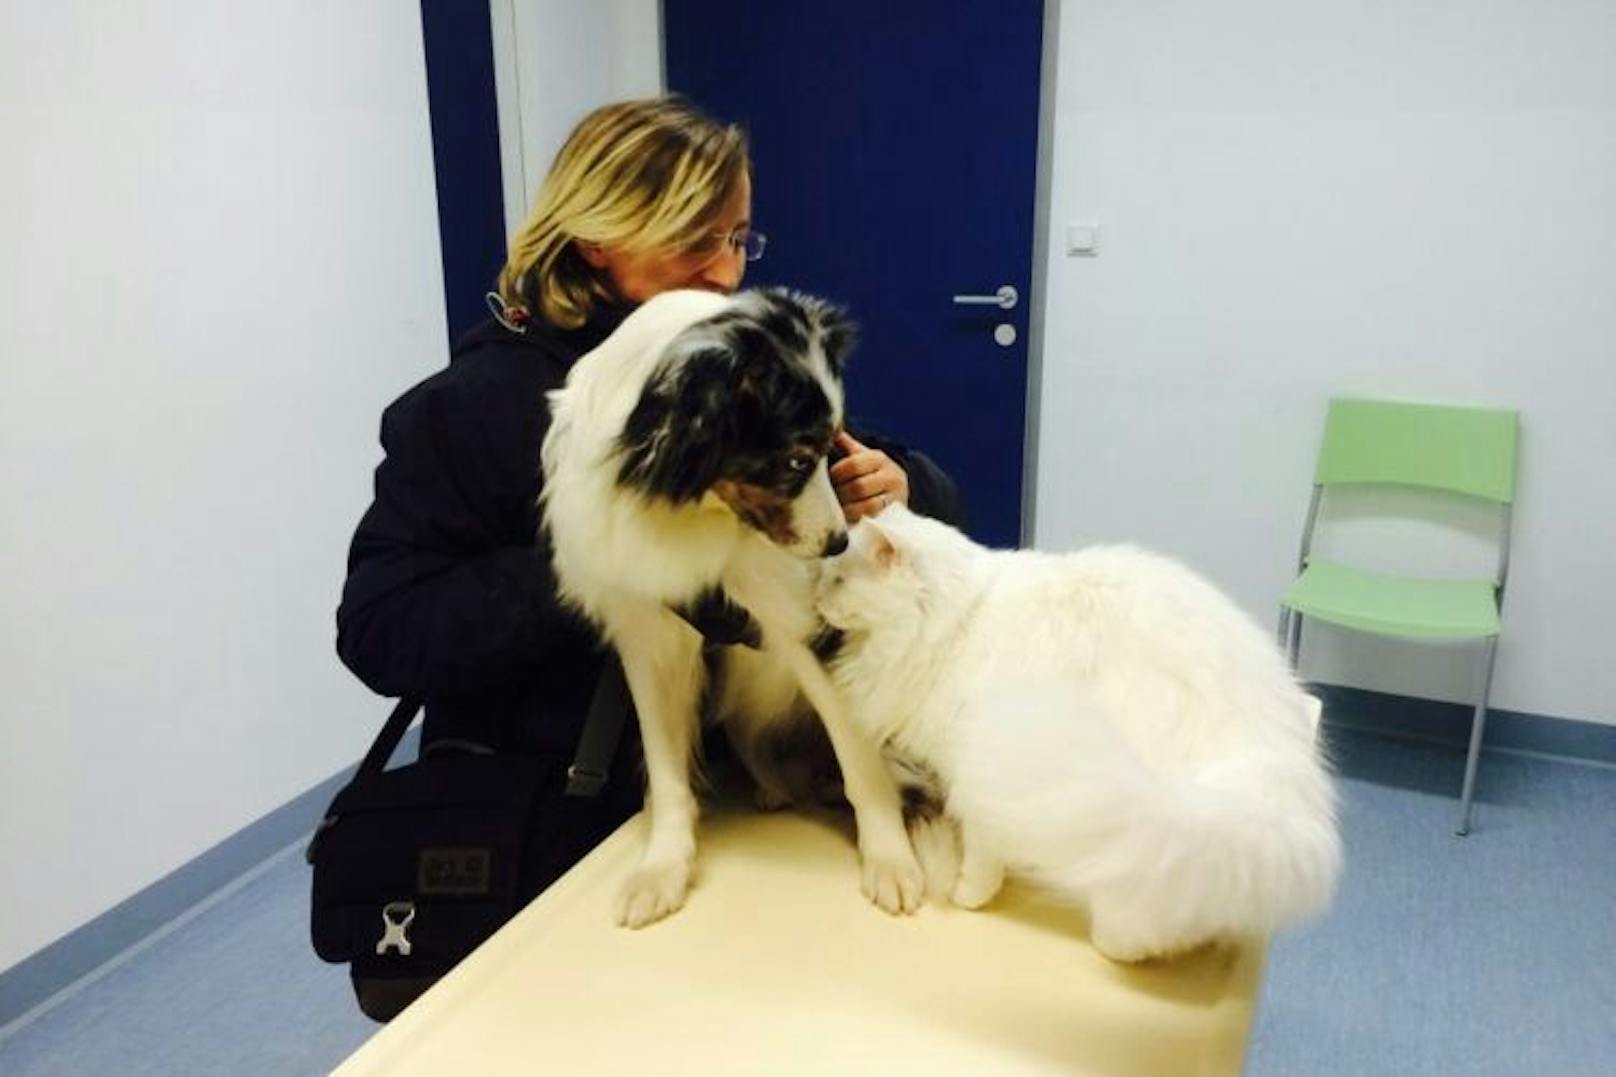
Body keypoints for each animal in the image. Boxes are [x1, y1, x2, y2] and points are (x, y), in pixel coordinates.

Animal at [542, 284, 924, 924]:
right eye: (795, 460)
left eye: (833, 451)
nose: (838, 543)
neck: (692, 510)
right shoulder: (647, 631)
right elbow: (666, 765)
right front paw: (661, 868)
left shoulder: (807, 620)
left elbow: (859, 757)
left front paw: (891, 861)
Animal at [814, 507, 1344, 957]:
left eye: (837, 579)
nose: (815, 602)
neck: (960, 621)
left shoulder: (982, 769)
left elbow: (983, 857)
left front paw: (968, 893)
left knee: (1130, 936)